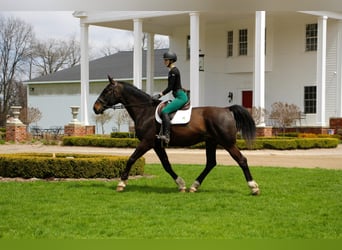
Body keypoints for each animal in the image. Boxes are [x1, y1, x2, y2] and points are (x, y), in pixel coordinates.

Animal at [93, 76, 260, 195]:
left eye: (106, 91)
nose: (96, 107)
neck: (145, 110)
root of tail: (227, 109)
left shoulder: (147, 142)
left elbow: (131, 159)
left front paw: (121, 183)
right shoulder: (157, 145)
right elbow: (166, 164)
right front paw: (181, 184)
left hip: (227, 143)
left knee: (241, 160)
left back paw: (253, 187)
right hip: (211, 142)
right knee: (211, 163)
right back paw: (194, 186)